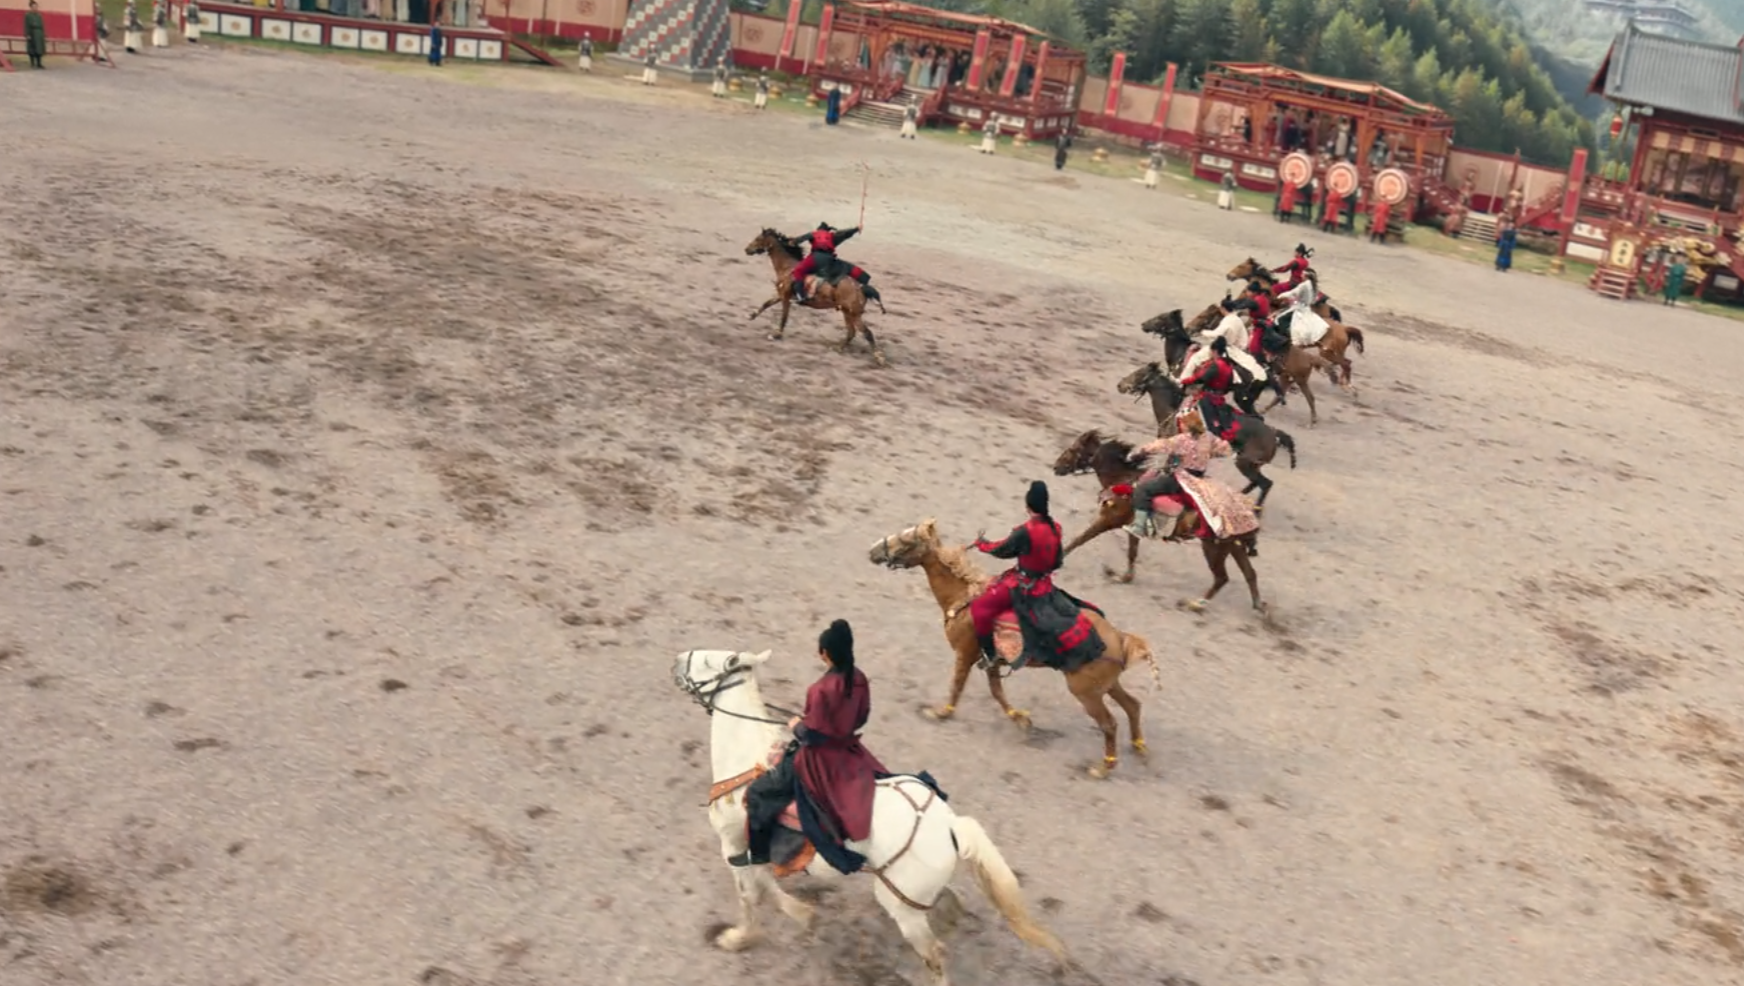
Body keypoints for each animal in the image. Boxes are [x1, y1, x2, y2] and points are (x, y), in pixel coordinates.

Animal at [673, 648, 1065, 984]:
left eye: (706, 659)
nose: (677, 661)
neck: (747, 756)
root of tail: (950, 826)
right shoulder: (750, 849)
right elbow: (764, 883)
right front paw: (798, 914)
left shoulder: (734, 845)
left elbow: (752, 894)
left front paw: (741, 937)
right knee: (949, 904)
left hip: (901, 906)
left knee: (934, 954)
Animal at [744, 228, 888, 366]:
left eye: (758, 239)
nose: (747, 249)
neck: (788, 267)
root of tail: (861, 288)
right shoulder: (780, 294)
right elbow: (766, 303)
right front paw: (752, 315)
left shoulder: (785, 298)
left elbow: (784, 317)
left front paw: (777, 334)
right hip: (847, 312)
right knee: (851, 332)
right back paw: (839, 348)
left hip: (854, 314)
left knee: (867, 333)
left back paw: (879, 358)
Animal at [868, 520, 1161, 779]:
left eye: (907, 539)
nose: (873, 550)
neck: (964, 596)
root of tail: (1121, 638)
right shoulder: (991, 659)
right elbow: (997, 692)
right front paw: (1020, 719)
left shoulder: (965, 653)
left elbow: (958, 685)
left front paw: (941, 712)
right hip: (1106, 686)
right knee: (1133, 706)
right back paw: (1139, 747)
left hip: (1086, 693)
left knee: (1109, 724)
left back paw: (1102, 769)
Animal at [1052, 430, 1264, 611]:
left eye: (1073, 449)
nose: (1056, 467)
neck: (1124, 481)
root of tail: (1248, 513)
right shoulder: (1131, 528)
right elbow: (1132, 553)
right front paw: (1125, 577)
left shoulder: (1107, 521)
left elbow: (1080, 539)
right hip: (1234, 547)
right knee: (1250, 574)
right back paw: (1260, 607)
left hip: (1214, 548)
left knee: (1222, 578)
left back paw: (1196, 604)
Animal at [1114, 362, 1297, 506]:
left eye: (1139, 373)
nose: (1120, 385)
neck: (1174, 412)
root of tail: (1274, 434)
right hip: (1252, 465)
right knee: (1256, 483)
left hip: (1244, 463)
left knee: (1265, 484)